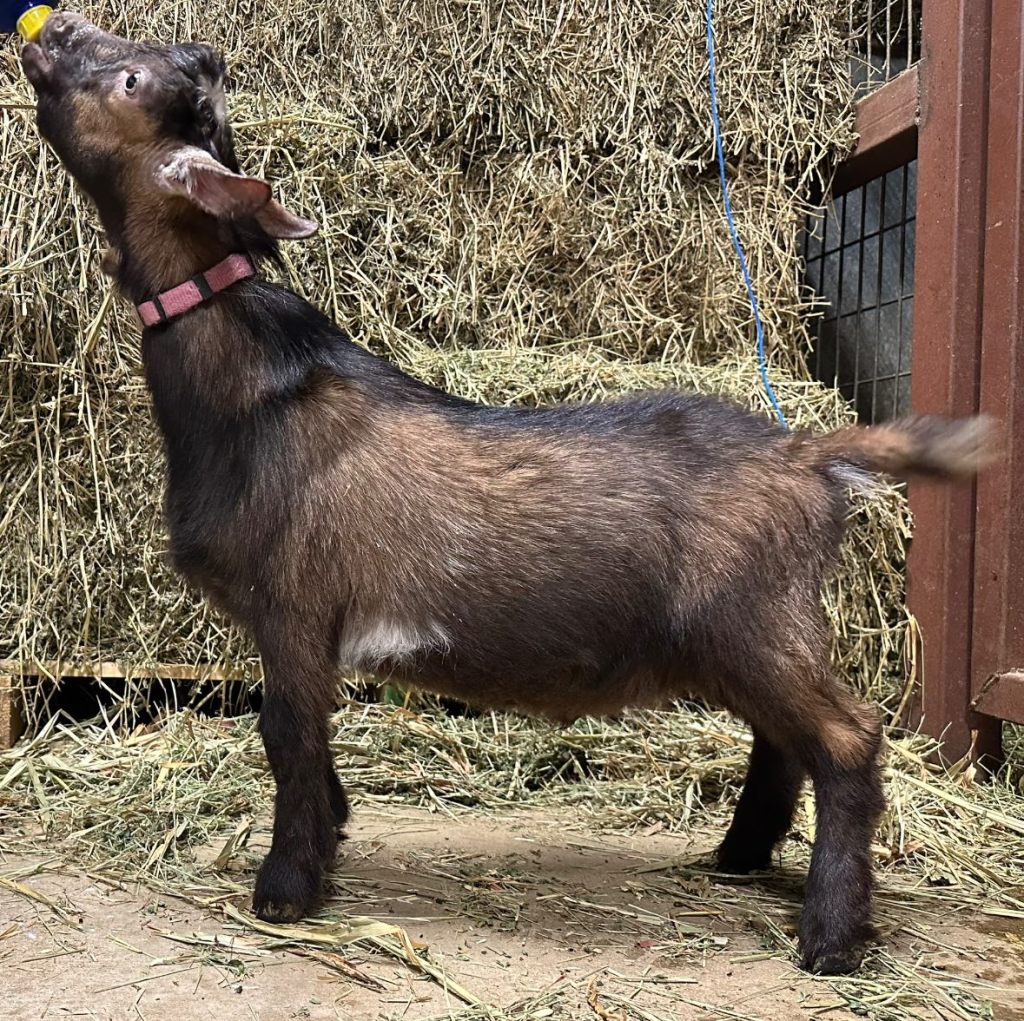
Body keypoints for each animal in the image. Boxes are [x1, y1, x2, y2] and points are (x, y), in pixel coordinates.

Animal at [22, 13, 992, 975]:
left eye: (131, 80)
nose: (50, 28)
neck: (253, 388)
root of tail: (807, 453)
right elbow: (314, 743)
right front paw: (334, 833)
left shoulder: (294, 606)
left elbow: (288, 735)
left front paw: (286, 892)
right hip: (738, 638)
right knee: (784, 739)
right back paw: (740, 855)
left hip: (753, 620)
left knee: (848, 735)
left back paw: (829, 937)